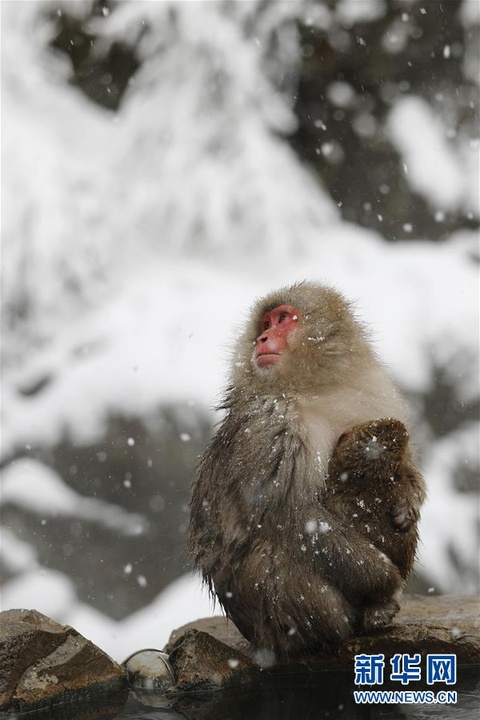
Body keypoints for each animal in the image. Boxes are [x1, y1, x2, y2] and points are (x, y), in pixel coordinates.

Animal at [188, 282, 424, 660]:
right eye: (265, 324)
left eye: (283, 318)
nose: (262, 338)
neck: (315, 389)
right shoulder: (271, 424)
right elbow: (295, 515)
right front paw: (387, 581)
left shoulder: (378, 395)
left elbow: (405, 462)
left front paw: (410, 502)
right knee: (280, 552)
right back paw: (358, 619)